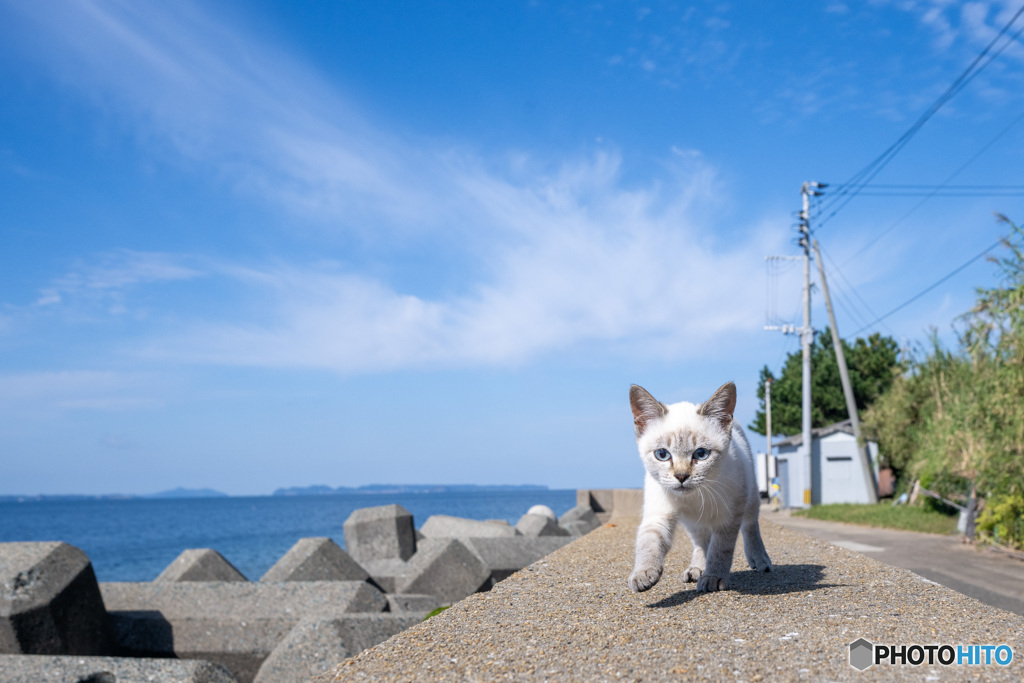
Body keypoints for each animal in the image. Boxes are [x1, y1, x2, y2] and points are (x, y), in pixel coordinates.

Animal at [626, 382, 770, 593]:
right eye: (662, 454)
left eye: (701, 454)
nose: (681, 476)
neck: (694, 497)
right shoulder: (659, 512)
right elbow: (648, 542)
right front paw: (643, 574)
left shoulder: (728, 517)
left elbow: (720, 550)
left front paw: (714, 578)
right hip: (693, 523)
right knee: (701, 541)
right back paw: (696, 568)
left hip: (750, 496)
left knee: (751, 526)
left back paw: (760, 560)